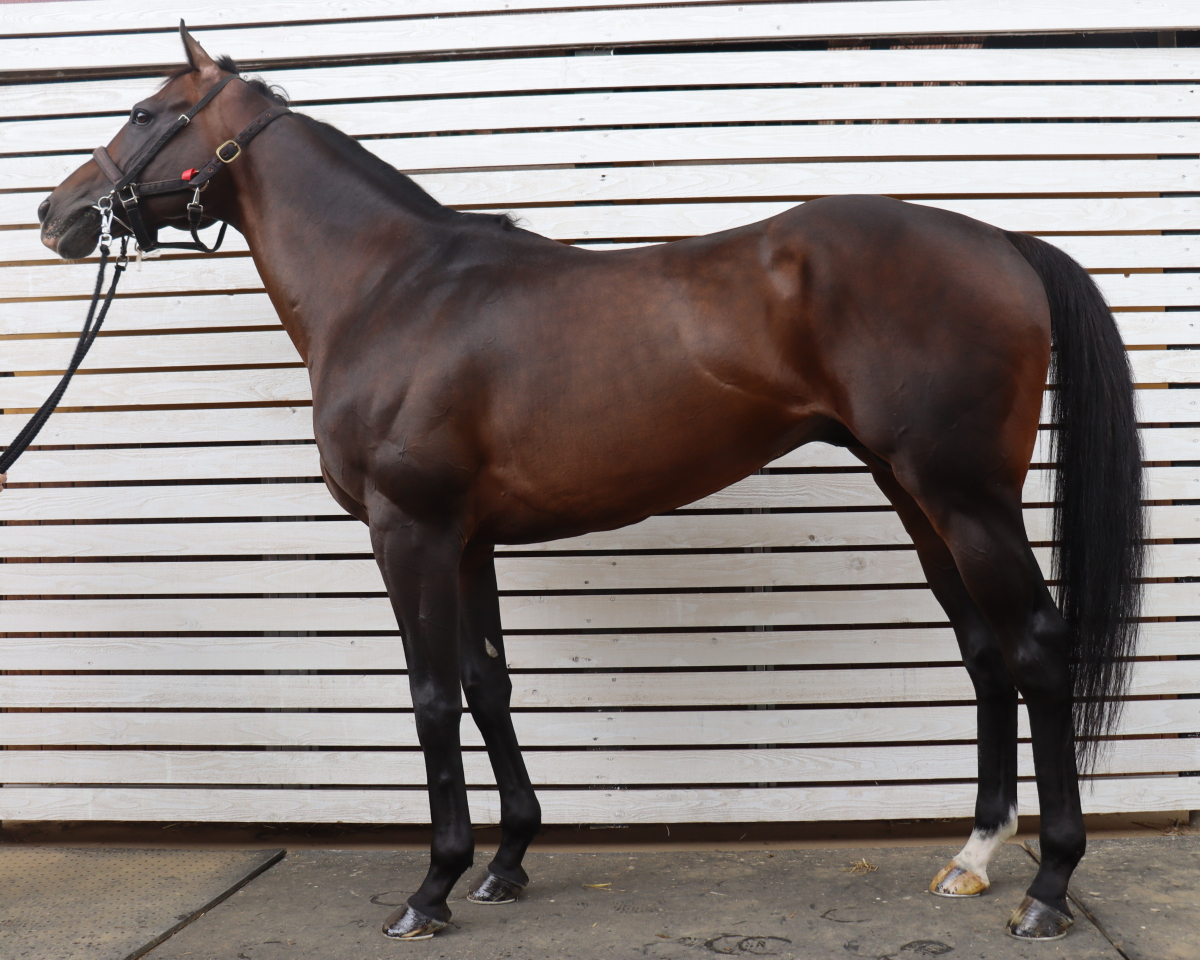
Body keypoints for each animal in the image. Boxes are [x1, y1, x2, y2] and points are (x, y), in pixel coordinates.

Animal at [37, 25, 1144, 943]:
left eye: (144, 112)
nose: (58, 213)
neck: (395, 289)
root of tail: (1002, 243)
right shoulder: (467, 538)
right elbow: (487, 683)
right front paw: (508, 863)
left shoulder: (408, 531)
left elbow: (432, 698)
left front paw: (431, 888)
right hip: (918, 497)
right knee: (985, 655)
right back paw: (974, 857)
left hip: (966, 499)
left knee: (1036, 648)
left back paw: (1049, 888)